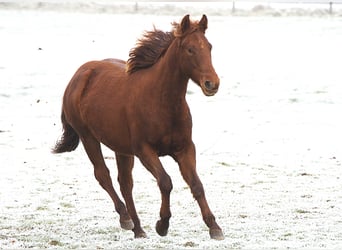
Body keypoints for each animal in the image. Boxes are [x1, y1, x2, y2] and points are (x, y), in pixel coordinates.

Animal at [52, 14, 224, 240]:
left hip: (121, 149)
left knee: (125, 183)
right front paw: (162, 224)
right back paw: (126, 218)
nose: (212, 84)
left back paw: (138, 228)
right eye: (190, 49)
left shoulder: (185, 148)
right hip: (89, 138)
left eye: (209, 47)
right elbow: (165, 182)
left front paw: (214, 227)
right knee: (103, 175)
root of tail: (78, 75)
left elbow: (196, 185)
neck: (162, 102)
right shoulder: (144, 150)